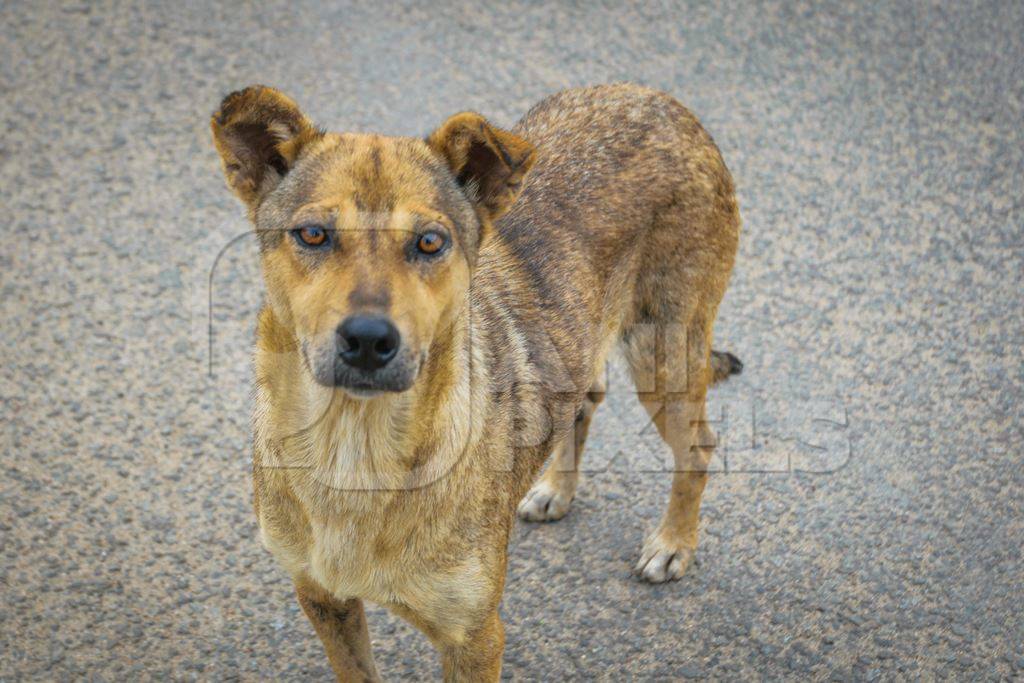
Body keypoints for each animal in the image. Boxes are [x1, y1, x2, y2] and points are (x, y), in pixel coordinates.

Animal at [211, 82, 741, 679]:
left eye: (430, 242)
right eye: (313, 234)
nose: (369, 339)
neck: (356, 449)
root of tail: (657, 97)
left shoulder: (474, 636)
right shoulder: (323, 600)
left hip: (664, 357)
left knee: (698, 446)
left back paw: (673, 542)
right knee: (583, 401)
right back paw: (556, 489)